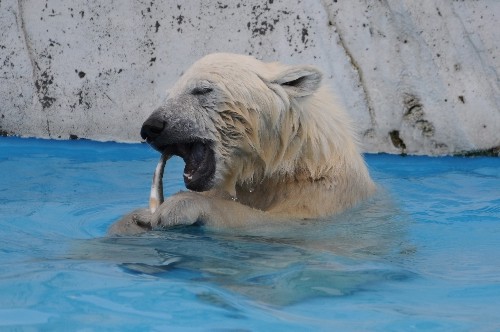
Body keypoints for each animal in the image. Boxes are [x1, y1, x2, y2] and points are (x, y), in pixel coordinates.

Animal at [109, 53, 376, 235]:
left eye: (202, 89)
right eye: (168, 94)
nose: (151, 127)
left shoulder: (323, 195)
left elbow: (278, 221)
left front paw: (177, 207)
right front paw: (132, 221)